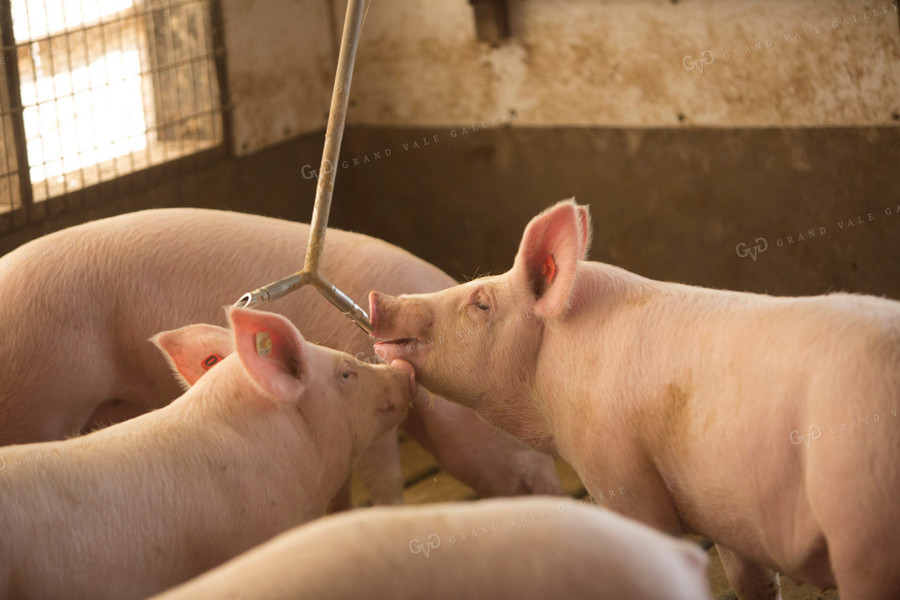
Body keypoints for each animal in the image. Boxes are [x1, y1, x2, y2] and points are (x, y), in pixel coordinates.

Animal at [368, 199, 900, 600]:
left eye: (480, 303)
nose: (378, 299)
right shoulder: (725, 507)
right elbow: (753, 582)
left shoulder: (616, 469)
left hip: (863, 516)